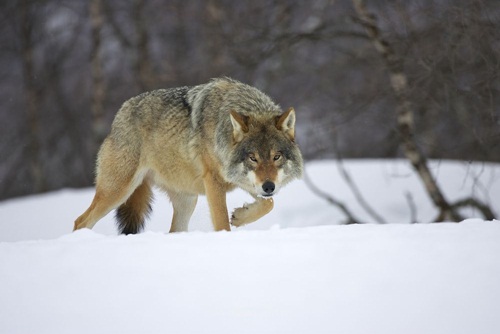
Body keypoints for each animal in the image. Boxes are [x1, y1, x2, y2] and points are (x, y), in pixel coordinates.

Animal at [73, 77, 302, 235]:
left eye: (276, 156)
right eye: (253, 158)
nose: (269, 187)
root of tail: (119, 114)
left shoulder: (242, 180)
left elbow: (268, 204)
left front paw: (240, 217)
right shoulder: (214, 181)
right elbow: (222, 222)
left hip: (186, 201)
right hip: (118, 191)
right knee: (81, 221)